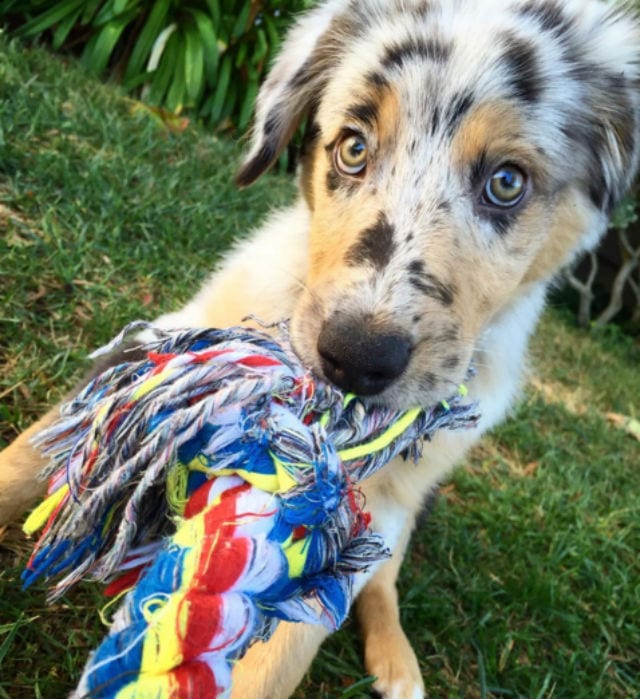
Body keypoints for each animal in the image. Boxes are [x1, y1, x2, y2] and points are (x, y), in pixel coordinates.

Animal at [1, 1, 640, 699]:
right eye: (352, 148)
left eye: (506, 183)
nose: (356, 358)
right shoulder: (155, 355)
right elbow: (27, 459)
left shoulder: (362, 509)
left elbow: (283, 653)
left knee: (384, 582)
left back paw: (399, 664)